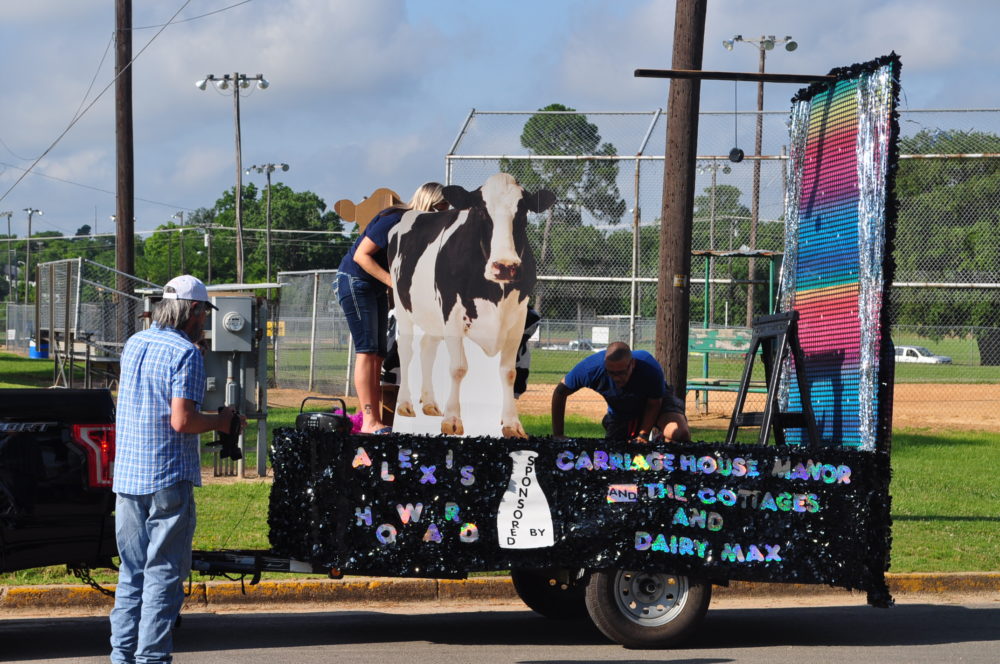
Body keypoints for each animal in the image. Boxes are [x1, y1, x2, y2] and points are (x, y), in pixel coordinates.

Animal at [386, 174, 556, 438]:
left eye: (522, 212)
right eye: (481, 211)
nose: (505, 266)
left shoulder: (517, 321)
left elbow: (509, 372)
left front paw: (512, 423)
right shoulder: (452, 314)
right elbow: (458, 368)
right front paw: (453, 419)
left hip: (434, 317)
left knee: (427, 348)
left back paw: (430, 403)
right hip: (404, 306)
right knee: (406, 349)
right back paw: (405, 404)